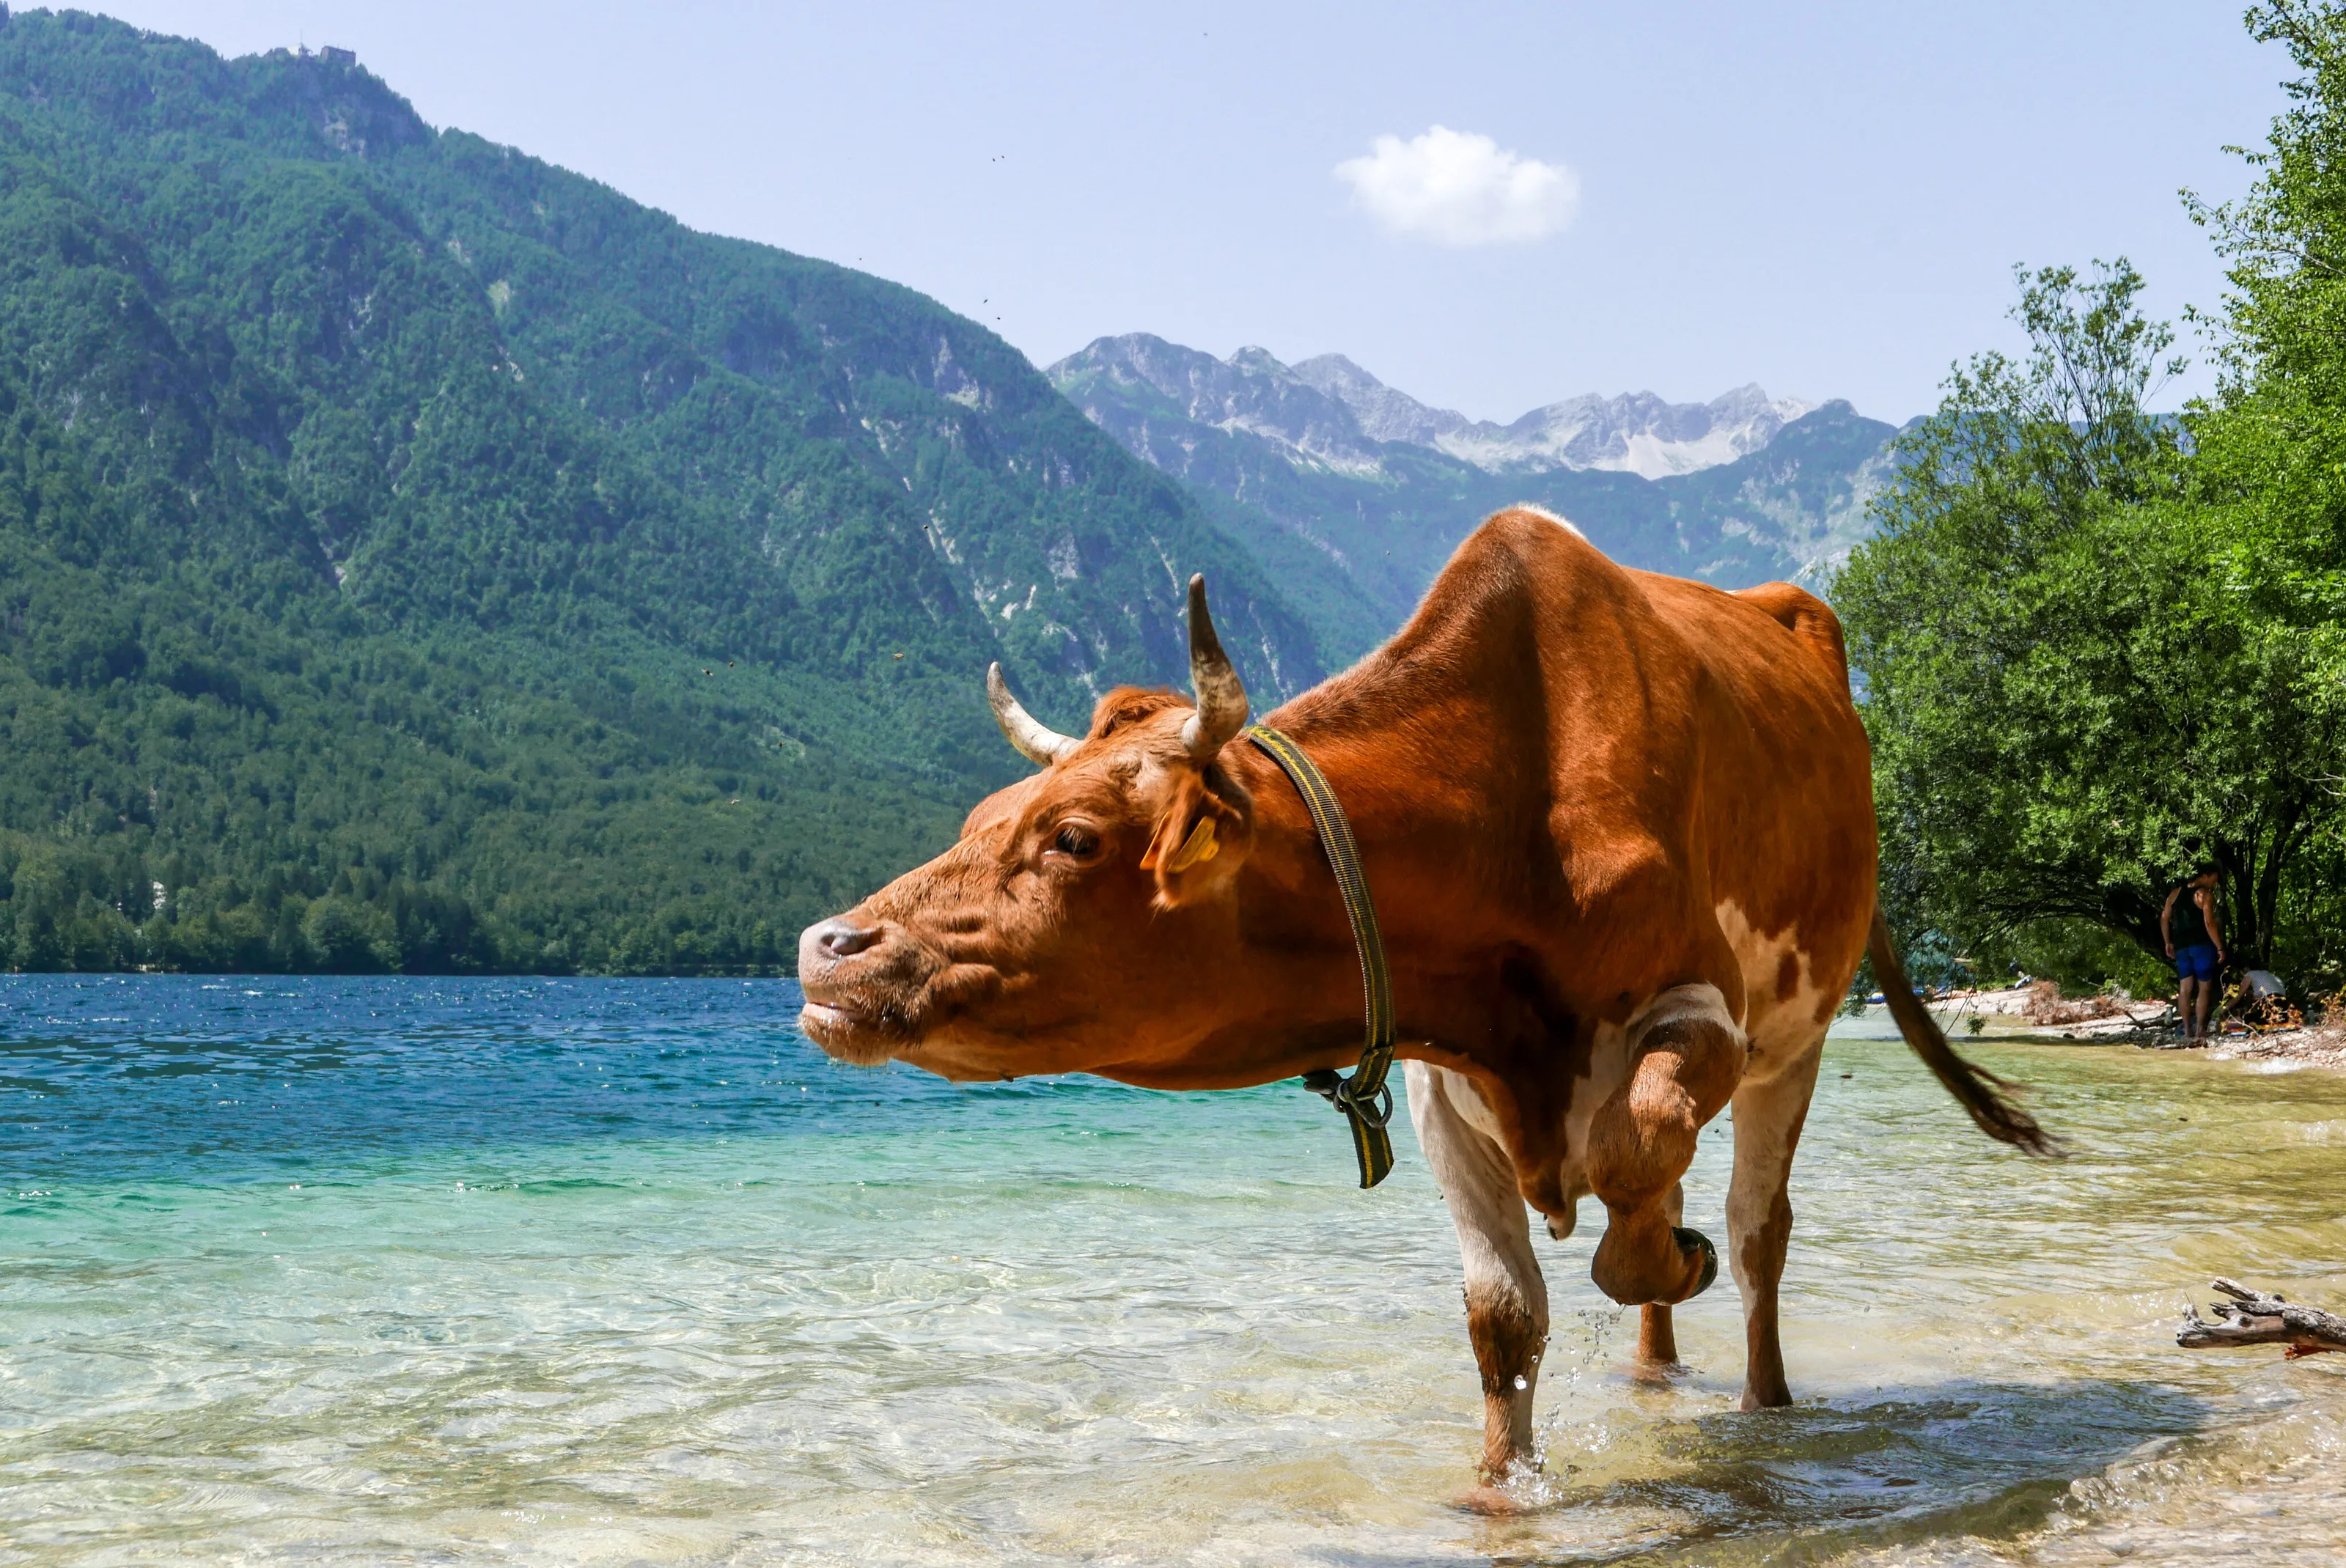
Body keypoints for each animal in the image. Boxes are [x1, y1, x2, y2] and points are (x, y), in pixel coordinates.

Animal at [797, 506, 2050, 1489]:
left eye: (1072, 836)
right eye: (981, 814)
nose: (824, 945)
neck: (1513, 798)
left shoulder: (1708, 1007)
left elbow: (1639, 1143)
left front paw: (1661, 1256)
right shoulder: (1451, 1082)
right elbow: (1505, 1315)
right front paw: (1502, 1485)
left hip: (1798, 1034)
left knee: (1756, 1229)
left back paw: (1760, 1392)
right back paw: (1654, 1365)